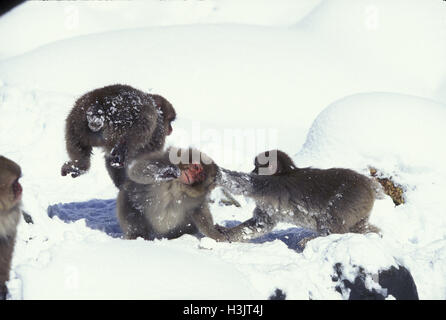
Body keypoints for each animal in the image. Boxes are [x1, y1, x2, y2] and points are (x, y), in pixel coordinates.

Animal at [216, 150, 380, 242]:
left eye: (257, 167)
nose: (252, 171)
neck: (283, 172)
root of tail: (368, 184)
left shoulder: (270, 185)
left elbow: (243, 183)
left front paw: (217, 172)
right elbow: (260, 225)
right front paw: (227, 234)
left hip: (349, 200)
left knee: (330, 220)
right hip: (360, 209)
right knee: (360, 227)